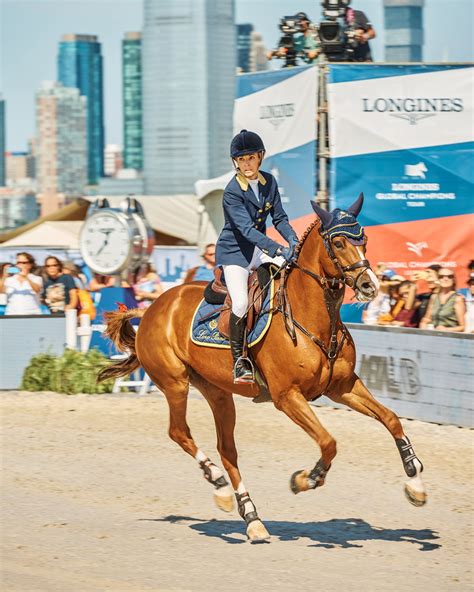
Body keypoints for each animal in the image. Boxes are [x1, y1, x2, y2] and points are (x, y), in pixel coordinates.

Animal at [99, 197, 426, 544]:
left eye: (364, 239)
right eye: (338, 243)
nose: (369, 286)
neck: (312, 316)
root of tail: (151, 308)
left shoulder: (344, 386)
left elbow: (391, 419)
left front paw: (415, 481)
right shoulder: (288, 397)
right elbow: (328, 442)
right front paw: (306, 479)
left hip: (217, 392)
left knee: (227, 450)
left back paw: (249, 515)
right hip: (175, 383)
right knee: (179, 432)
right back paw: (218, 482)